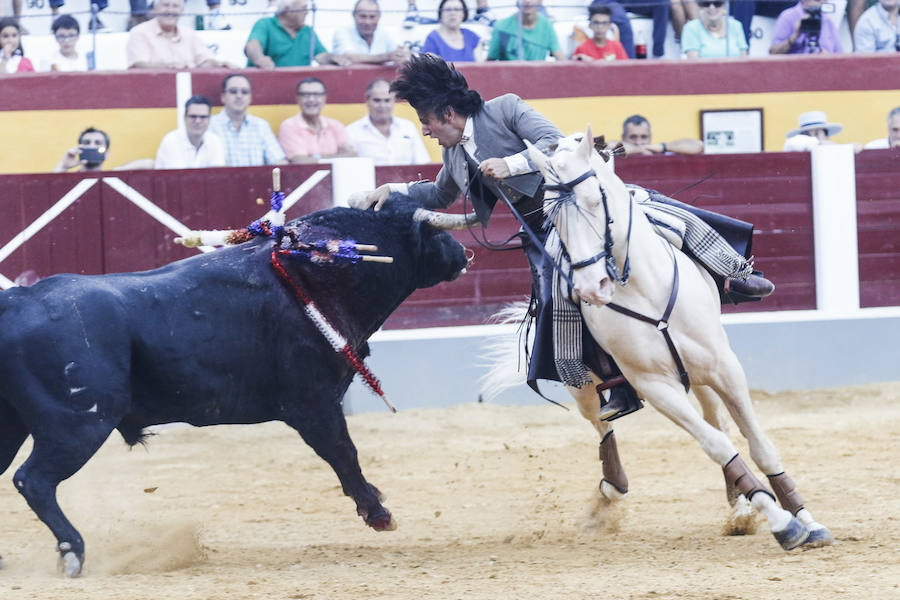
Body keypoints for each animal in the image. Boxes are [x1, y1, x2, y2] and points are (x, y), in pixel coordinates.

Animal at [516, 127, 832, 552]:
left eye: (594, 200)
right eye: (550, 214)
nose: (589, 288)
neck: (642, 289)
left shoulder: (725, 366)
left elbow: (759, 445)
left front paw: (806, 519)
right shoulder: (655, 386)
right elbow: (716, 446)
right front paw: (783, 522)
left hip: (701, 373)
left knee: (717, 419)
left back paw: (740, 508)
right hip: (580, 386)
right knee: (601, 424)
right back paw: (612, 491)